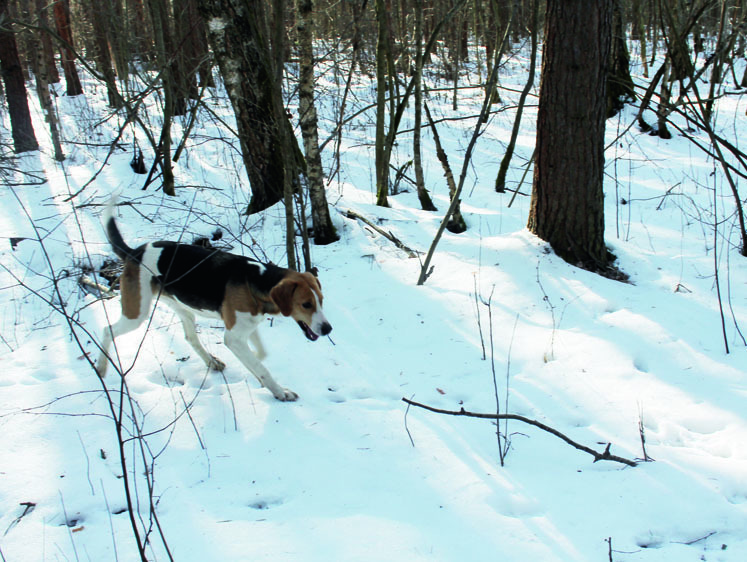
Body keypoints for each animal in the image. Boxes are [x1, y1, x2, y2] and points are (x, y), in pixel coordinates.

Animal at [95, 205, 330, 398]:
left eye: (321, 300)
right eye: (306, 304)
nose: (328, 329)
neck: (257, 280)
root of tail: (134, 252)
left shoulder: (247, 326)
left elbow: (261, 355)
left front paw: (256, 370)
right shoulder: (234, 337)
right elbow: (261, 366)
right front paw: (280, 392)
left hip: (183, 308)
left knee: (190, 337)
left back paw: (211, 362)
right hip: (136, 313)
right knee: (107, 330)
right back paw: (101, 368)